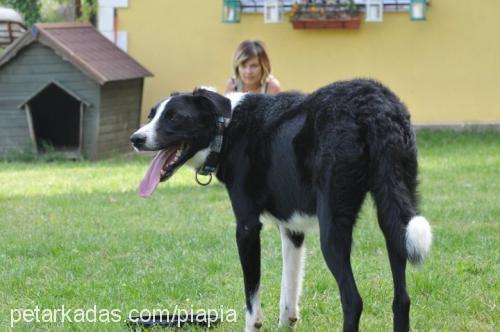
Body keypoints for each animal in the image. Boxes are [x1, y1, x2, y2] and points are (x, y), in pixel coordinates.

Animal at [131, 79, 432, 330]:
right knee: (402, 299)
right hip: (395, 216)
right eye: (151, 116)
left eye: (174, 117)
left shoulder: (247, 227)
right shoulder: (292, 228)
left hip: (333, 227)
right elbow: (289, 289)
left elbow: (252, 297)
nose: (135, 139)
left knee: (353, 300)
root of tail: (374, 106)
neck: (225, 128)